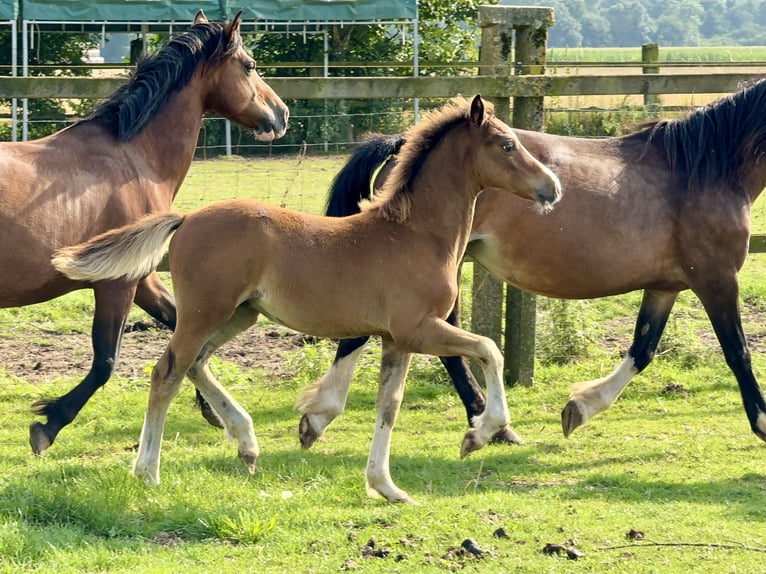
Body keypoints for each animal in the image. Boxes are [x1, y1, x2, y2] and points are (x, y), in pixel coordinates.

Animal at [9, 11, 288, 456]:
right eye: (250, 65)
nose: (282, 114)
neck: (133, 158)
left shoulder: (143, 276)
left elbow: (182, 333)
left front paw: (211, 409)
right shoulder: (117, 283)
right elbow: (105, 362)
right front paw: (48, 423)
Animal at [51, 97, 560, 506]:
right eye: (507, 145)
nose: (552, 187)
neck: (416, 233)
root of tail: (188, 217)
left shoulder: (397, 340)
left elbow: (389, 405)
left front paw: (387, 487)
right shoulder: (420, 329)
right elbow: (489, 350)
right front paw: (479, 435)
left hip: (240, 314)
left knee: (195, 364)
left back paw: (246, 443)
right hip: (204, 312)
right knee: (167, 373)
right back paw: (148, 473)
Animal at [300, 77, 766, 446]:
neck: (707, 168)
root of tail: (401, 141)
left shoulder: (666, 285)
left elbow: (642, 348)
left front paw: (579, 407)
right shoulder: (716, 278)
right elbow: (738, 352)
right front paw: (762, 423)